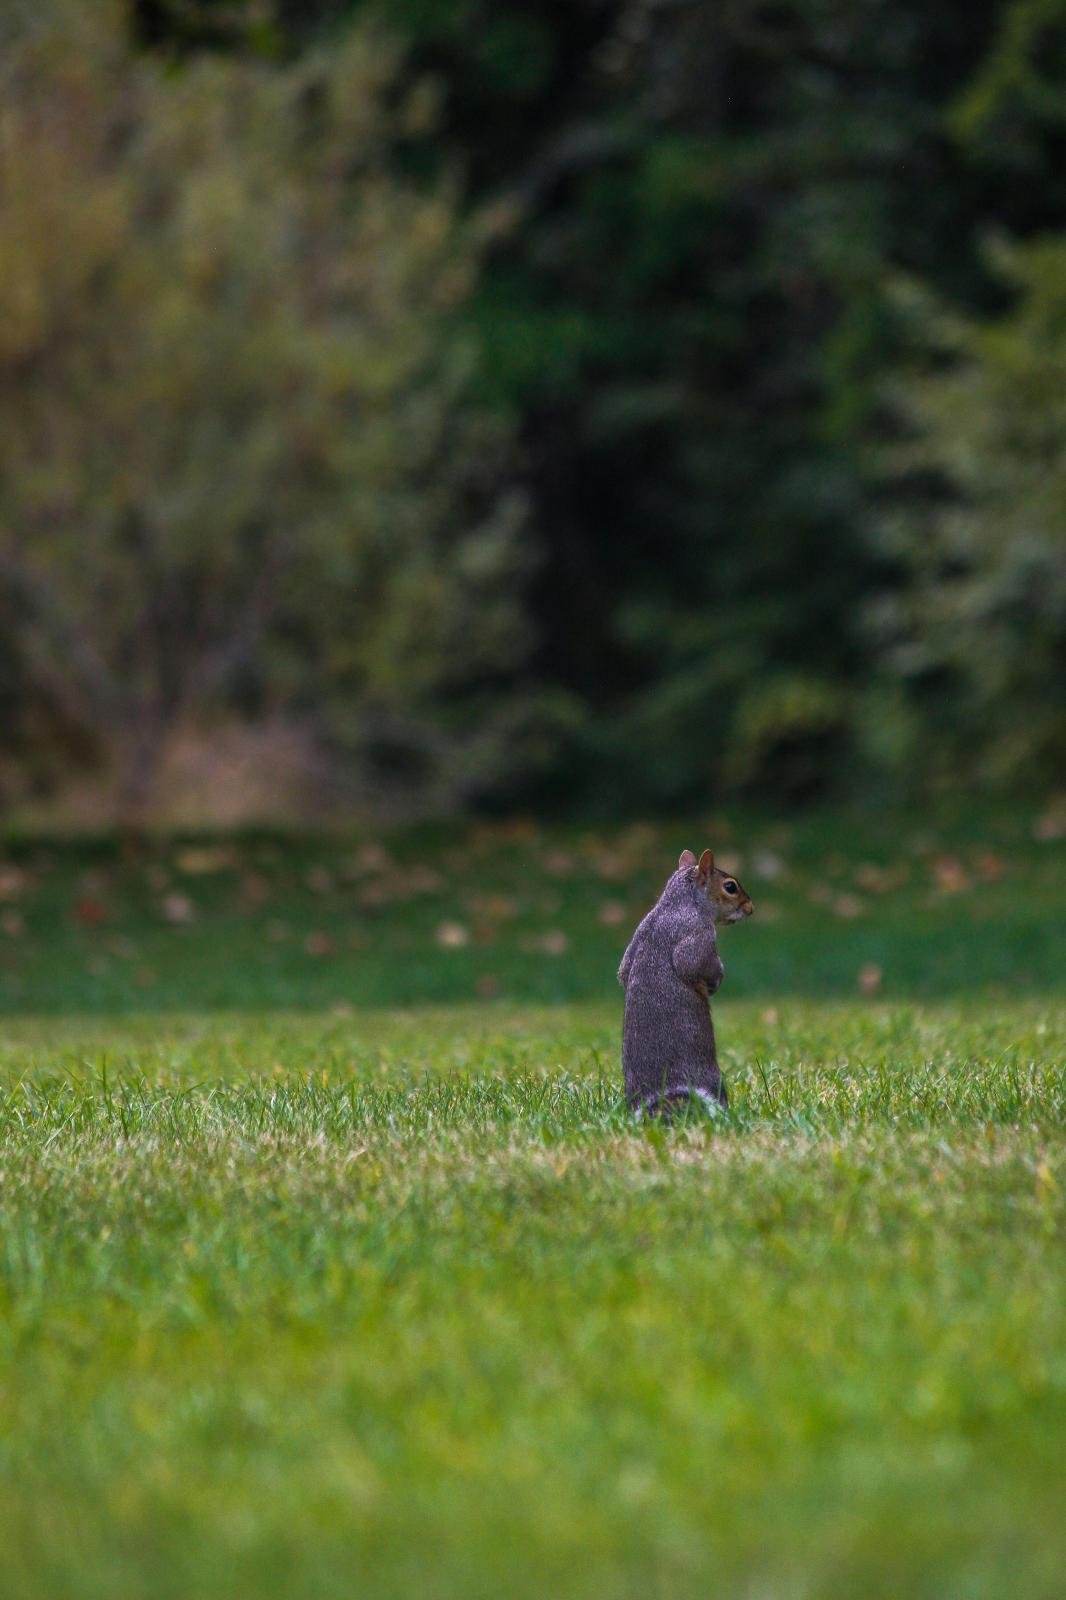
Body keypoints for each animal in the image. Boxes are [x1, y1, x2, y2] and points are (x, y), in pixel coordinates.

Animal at [618, 848, 753, 1117]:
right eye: (730, 886)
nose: (750, 907)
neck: (677, 902)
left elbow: (623, 971)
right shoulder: (698, 933)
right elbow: (691, 964)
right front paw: (715, 980)